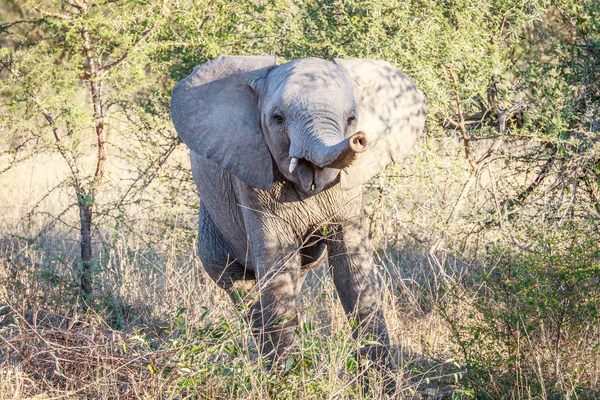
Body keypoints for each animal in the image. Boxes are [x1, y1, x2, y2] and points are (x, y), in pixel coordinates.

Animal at [171, 54, 428, 392]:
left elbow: (352, 269)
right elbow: (279, 268)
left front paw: (382, 390)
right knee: (244, 291)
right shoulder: (253, 181)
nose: (359, 140)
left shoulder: (347, 191)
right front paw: (285, 386)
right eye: (277, 118)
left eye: (352, 118)